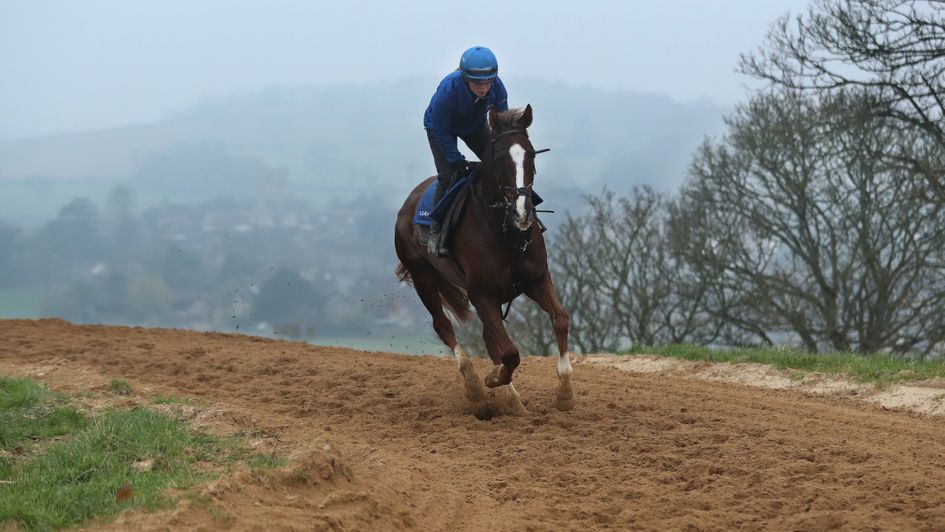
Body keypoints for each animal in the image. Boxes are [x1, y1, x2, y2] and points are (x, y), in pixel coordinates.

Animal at [392, 104, 576, 412]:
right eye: (499, 158)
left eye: (531, 154)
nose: (523, 211)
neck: (505, 232)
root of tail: (409, 203)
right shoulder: (482, 294)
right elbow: (510, 353)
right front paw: (492, 379)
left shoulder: (536, 279)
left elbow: (560, 318)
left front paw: (564, 393)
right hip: (422, 276)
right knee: (443, 326)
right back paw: (475, 386)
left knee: (490, 339)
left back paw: (511, 401)